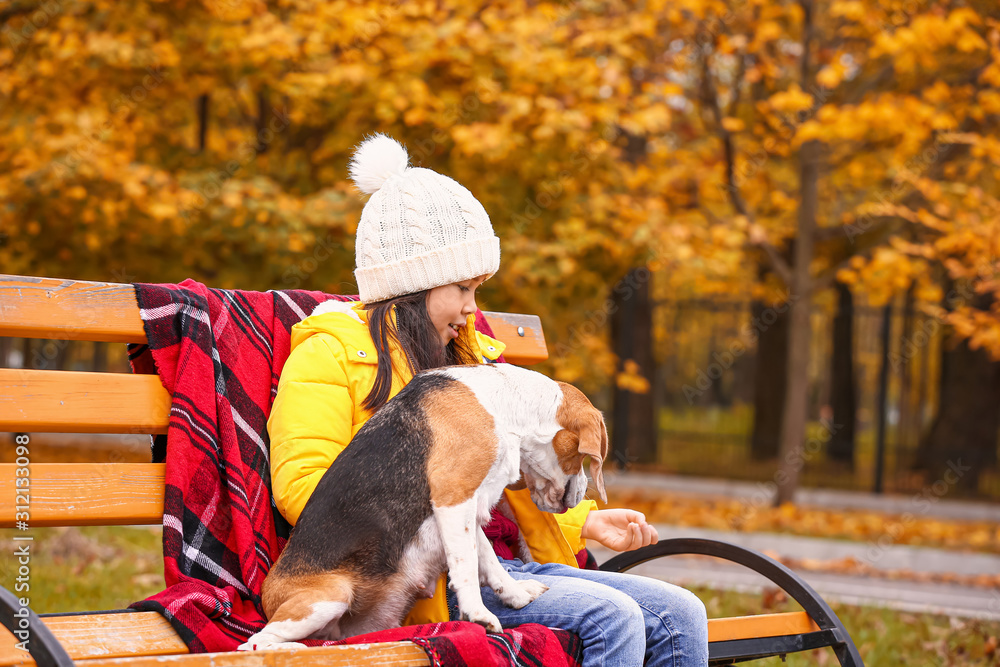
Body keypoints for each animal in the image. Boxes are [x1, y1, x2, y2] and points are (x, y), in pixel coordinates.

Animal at [238, 362, 604, 648]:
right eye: (582, 459)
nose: (584, 495)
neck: (505, 405)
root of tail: (266, 593)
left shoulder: (470, 504)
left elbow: (485, 558)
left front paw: (513, 594)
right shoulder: (453, 495)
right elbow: (467, 568)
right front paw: (478, 615)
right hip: (330, 596)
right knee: (256, 643)